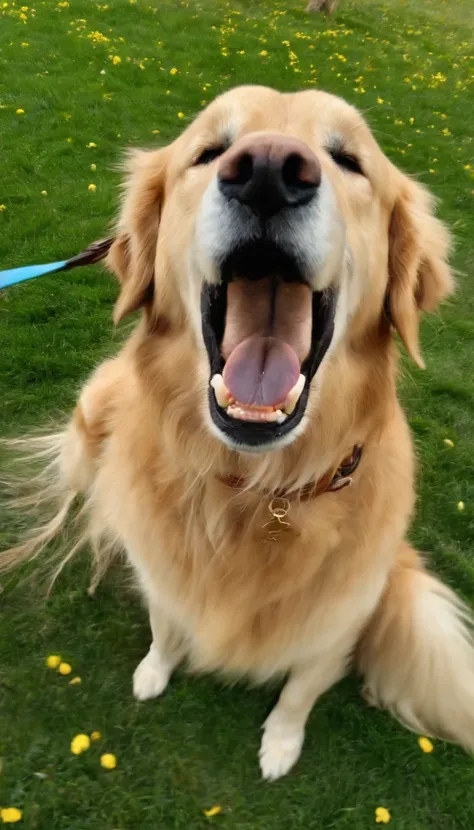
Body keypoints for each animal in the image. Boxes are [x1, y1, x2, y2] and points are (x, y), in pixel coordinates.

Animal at [3, 86, 474, 788]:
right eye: (209, 151)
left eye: (349, 160)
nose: (269, 171)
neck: (258, 488)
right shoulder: (167, 576)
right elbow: (165, 623)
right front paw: (153, 671)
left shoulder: (342, 614)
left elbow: (300, 689)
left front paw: (280, 744)